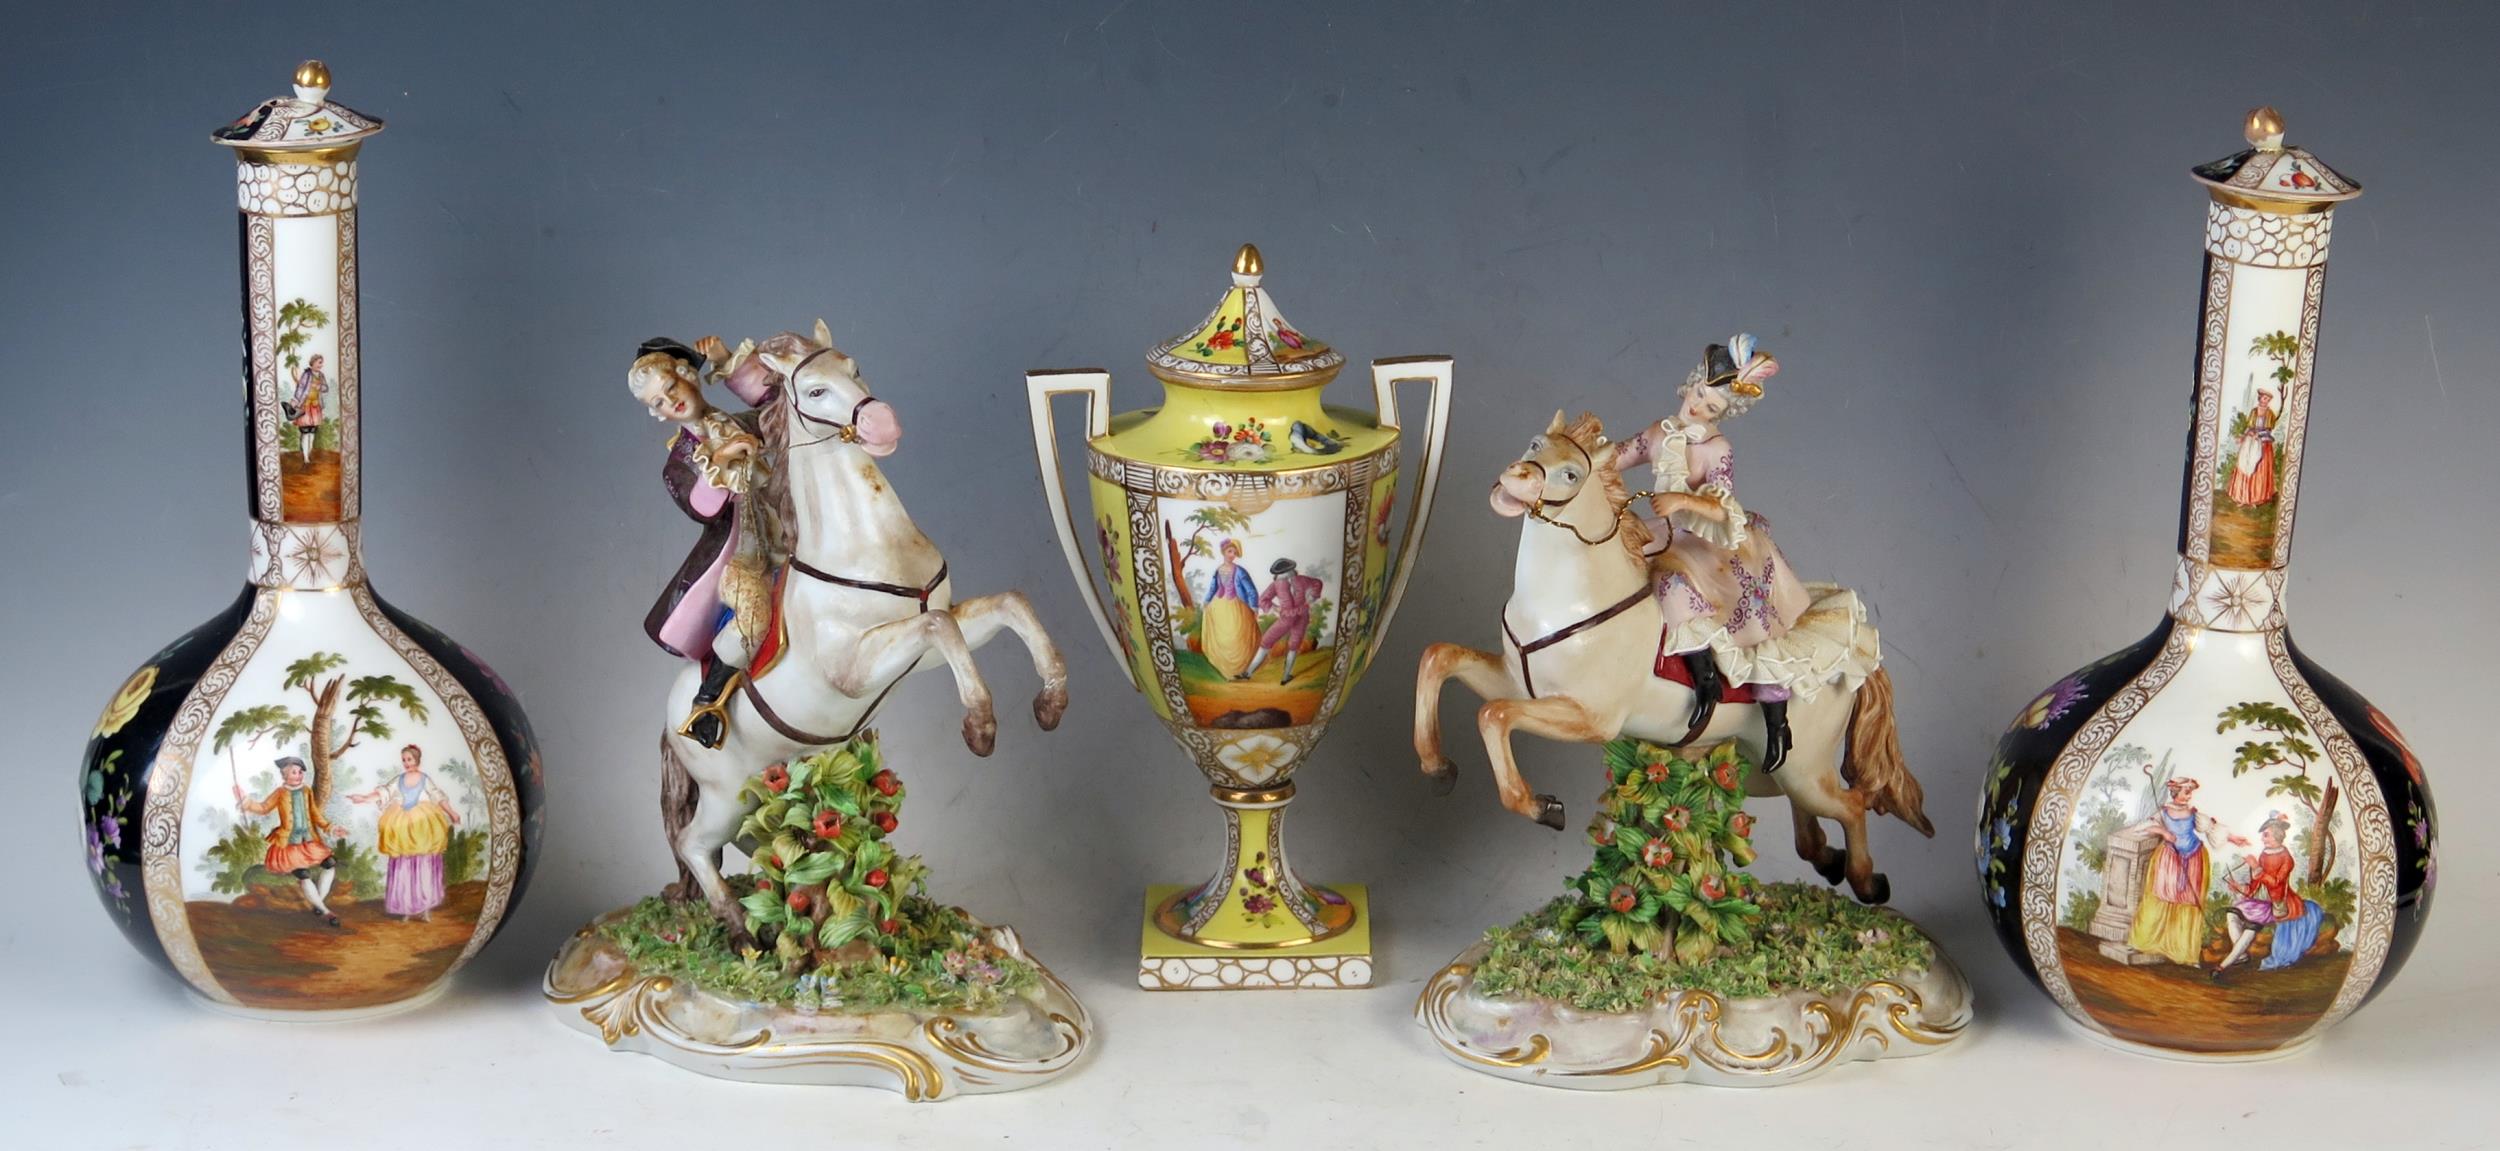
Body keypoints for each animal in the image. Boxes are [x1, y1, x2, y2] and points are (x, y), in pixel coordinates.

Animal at [1410, 410, 1930, 905]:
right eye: (1536, 443)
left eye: (1571, 474)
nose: (1514, 478)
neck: (1572, 606)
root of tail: (1860, 658)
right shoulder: (1517, 683)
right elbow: (1440, 659)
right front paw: (1439, 771)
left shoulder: (1590, 719)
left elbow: (1493, 716)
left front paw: (1544, 808)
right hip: (1768, 771)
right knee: (1808, 822)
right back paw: (1826, 859)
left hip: (1806, 771)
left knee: (1853, 806)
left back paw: (1867, 883)